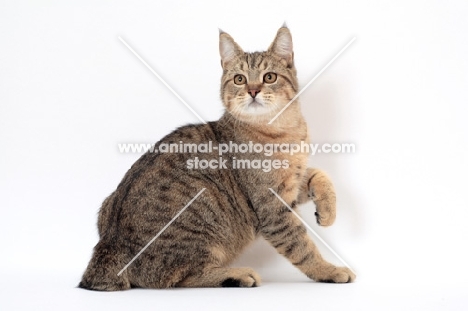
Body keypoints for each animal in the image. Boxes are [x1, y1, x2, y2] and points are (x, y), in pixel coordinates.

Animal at [79, 26, 354, 292]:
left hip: (107, 203)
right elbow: (302, 247)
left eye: (269, 77)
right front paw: (329, 270)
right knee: (175, 278)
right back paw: (237, 275)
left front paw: (328, 212)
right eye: (239, 79)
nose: (253, 90)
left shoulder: (291, 185)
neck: (283, 129)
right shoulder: (272, 206)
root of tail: (108, 245)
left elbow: (321, 175)